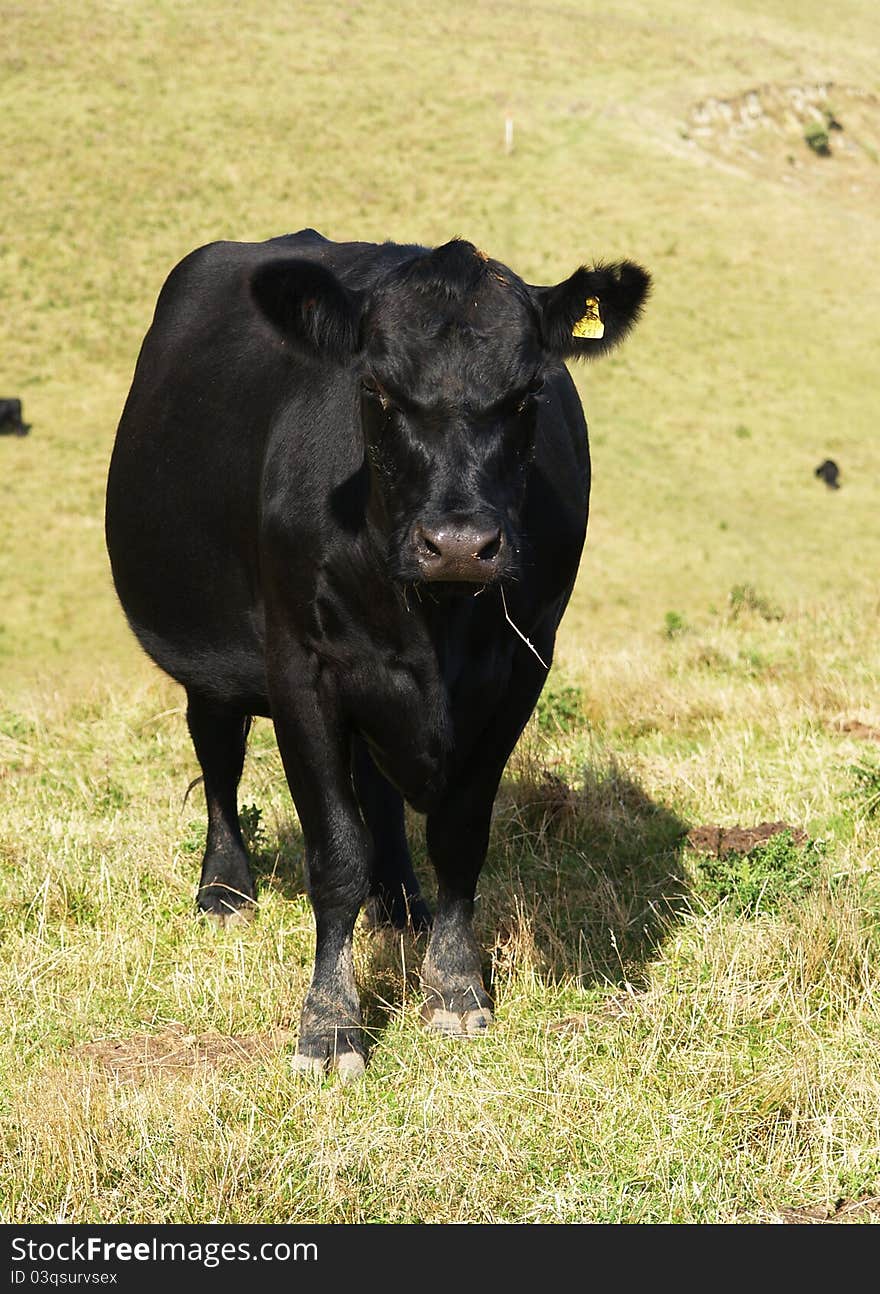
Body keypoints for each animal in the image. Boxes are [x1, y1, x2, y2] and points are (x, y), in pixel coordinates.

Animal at [106, 227, 649, 1076]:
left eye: (526, 394)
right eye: (379, 390)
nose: (459, 544)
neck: (435, 625)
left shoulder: (522, 667)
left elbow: (458, 834)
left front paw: (455, 987)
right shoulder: (302, 668)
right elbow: (335, 853)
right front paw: (330, 1024)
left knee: (377, 790)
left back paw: (400, 903)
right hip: (211, 652)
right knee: (218, 752)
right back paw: (225, 890)